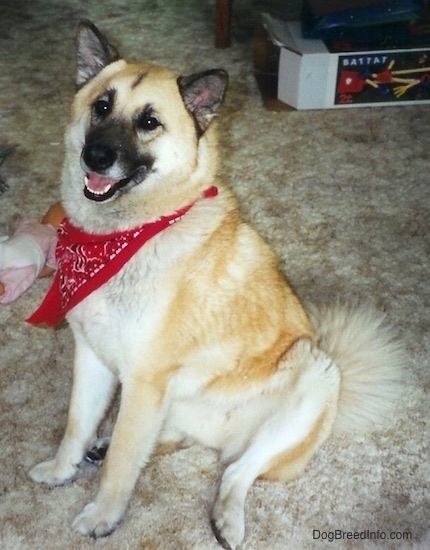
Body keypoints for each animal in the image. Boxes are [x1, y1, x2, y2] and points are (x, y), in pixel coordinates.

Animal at [28, 21, 404, 550]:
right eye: (101, 106)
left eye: (149, 122)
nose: (96, 156)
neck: (126, 234)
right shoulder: (94, 357)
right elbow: (76, 425)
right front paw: (64, 469)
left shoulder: (144, 381)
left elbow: (124, 461)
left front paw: (103, 514)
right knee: (174, 442)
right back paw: (104, 450)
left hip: (313, 379)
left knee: (237, 470)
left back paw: (227, 517)